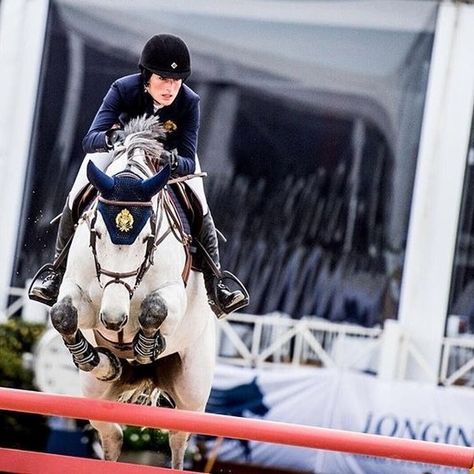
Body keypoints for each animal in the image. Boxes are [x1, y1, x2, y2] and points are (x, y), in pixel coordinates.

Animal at [49, 115, 216, 470]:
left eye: (147, 237)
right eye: (96, 232)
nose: (114, 320)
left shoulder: (173, 296)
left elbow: (155, 309)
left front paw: (144, 347)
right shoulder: (82, 296)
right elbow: (64, 314)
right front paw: (98, 359)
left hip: (192, 391)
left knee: (179, 436)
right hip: (94, 394)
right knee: (111, 433)